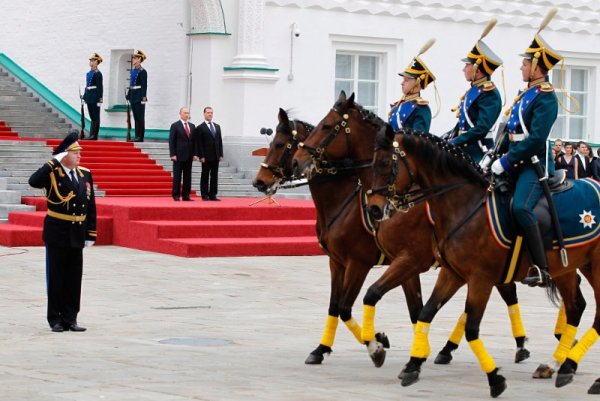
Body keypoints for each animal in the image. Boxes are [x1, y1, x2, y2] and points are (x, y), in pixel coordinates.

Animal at [253, 107, 422, 366]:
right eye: (271, 143)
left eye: (280, 144)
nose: (259, 181)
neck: (343, 199)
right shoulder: (337, 262)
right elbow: (334, 306)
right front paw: (321, 349)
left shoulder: (359, 264)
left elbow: (344, 307)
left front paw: (375, 343)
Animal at [366, 126, 596, 396]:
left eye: (384, 163)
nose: (374, 209)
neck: (462, 204)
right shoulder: (452, 273)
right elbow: (425, 311)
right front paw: (411, 363)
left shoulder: (475, 277)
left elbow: (471, 327)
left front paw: (494, 378)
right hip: (567, 267)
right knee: (575, 306)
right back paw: (559, 365)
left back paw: (568, 364)